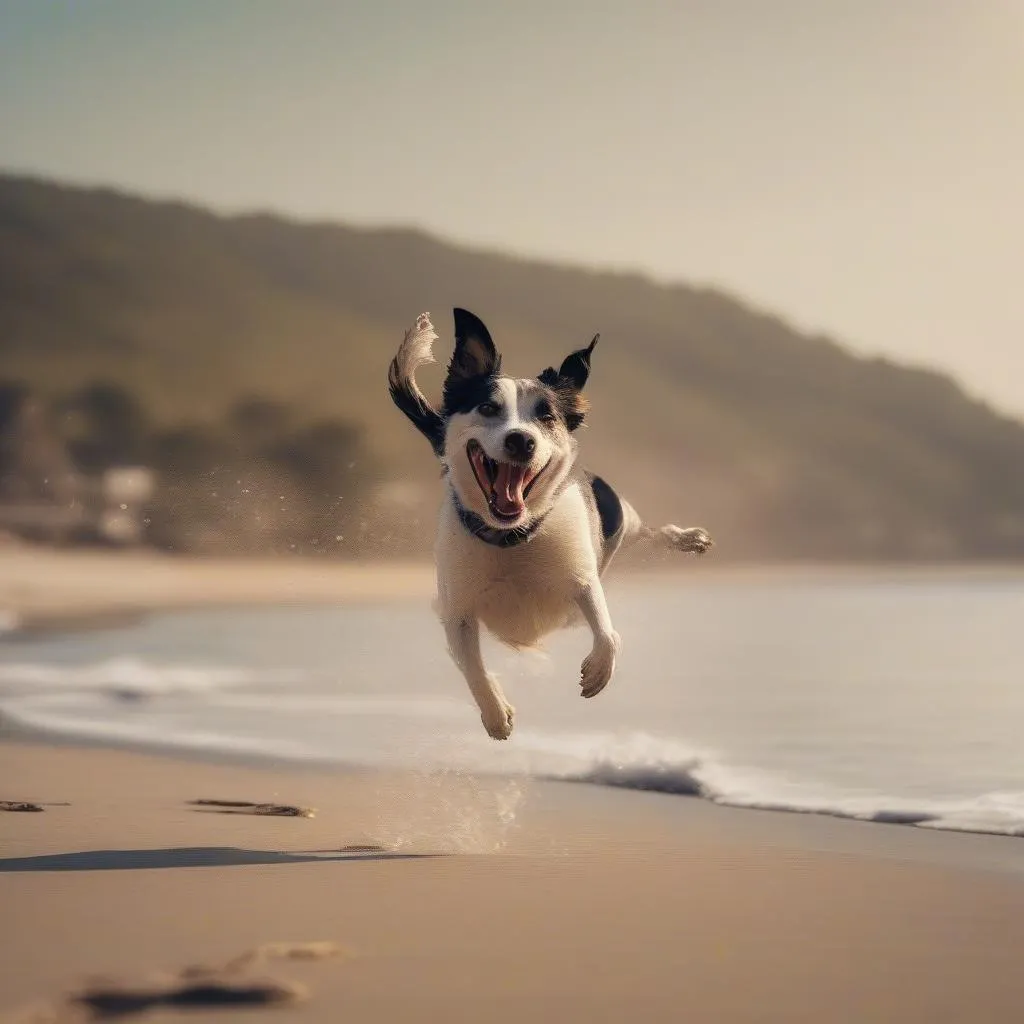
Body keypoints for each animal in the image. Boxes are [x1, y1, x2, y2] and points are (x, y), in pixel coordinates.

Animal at [385, 307, 712, 741]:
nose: (521, 440)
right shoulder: (457, 609)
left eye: (546, 415)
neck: (510, 537)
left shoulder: (580, 575)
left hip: (617, 515)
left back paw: (688, 539)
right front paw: (496, 714)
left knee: (647, 531)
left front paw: (598, 670)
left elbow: (606, 629)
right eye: (487, 408)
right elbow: (472, 666)